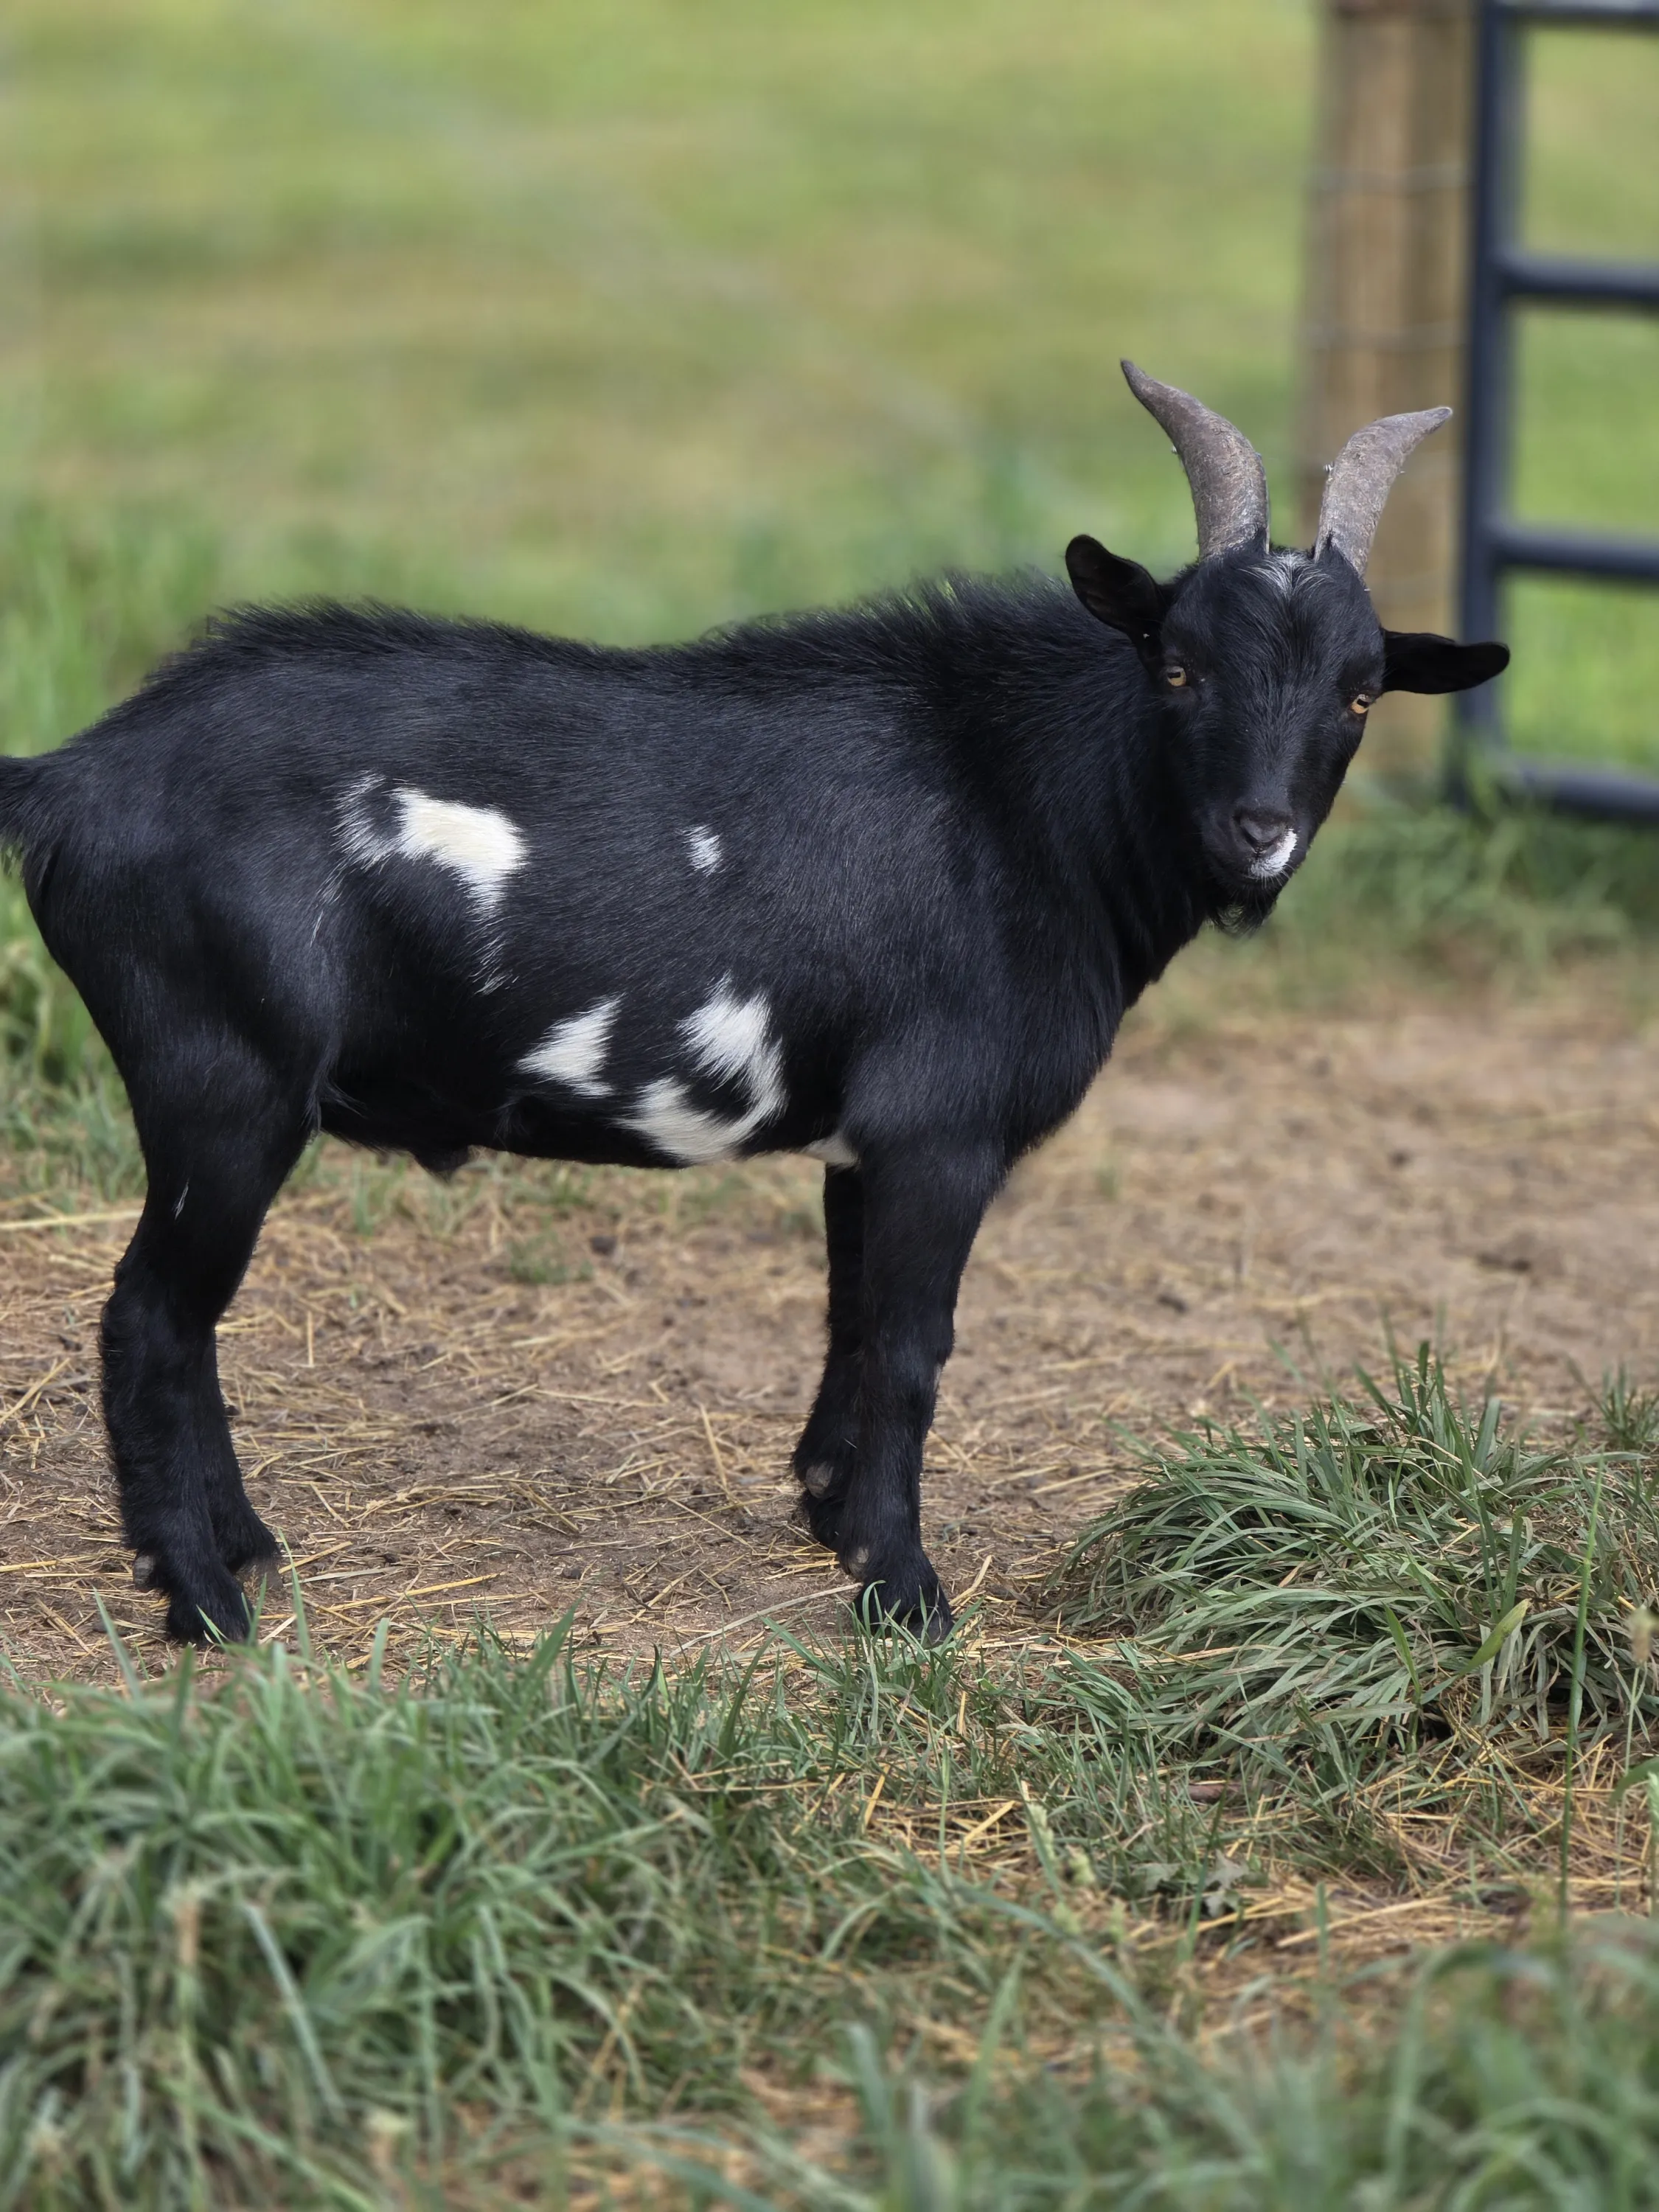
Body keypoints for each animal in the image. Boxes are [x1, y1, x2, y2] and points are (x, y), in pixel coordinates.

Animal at [0, 365, 1508, 1645]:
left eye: (1360, 691)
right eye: (1180, 664)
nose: (1260, 834)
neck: (1014, 800)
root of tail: (69, 778)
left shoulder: (864, 1141)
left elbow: (848, 1326)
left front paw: (833, 1522)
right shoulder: (938, 1132)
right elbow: (909, 1350)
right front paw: (905, 1598)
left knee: (180, 1326)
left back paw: (246, 1552)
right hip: (225, 1082)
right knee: (151, 1321)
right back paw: (204, 1606)